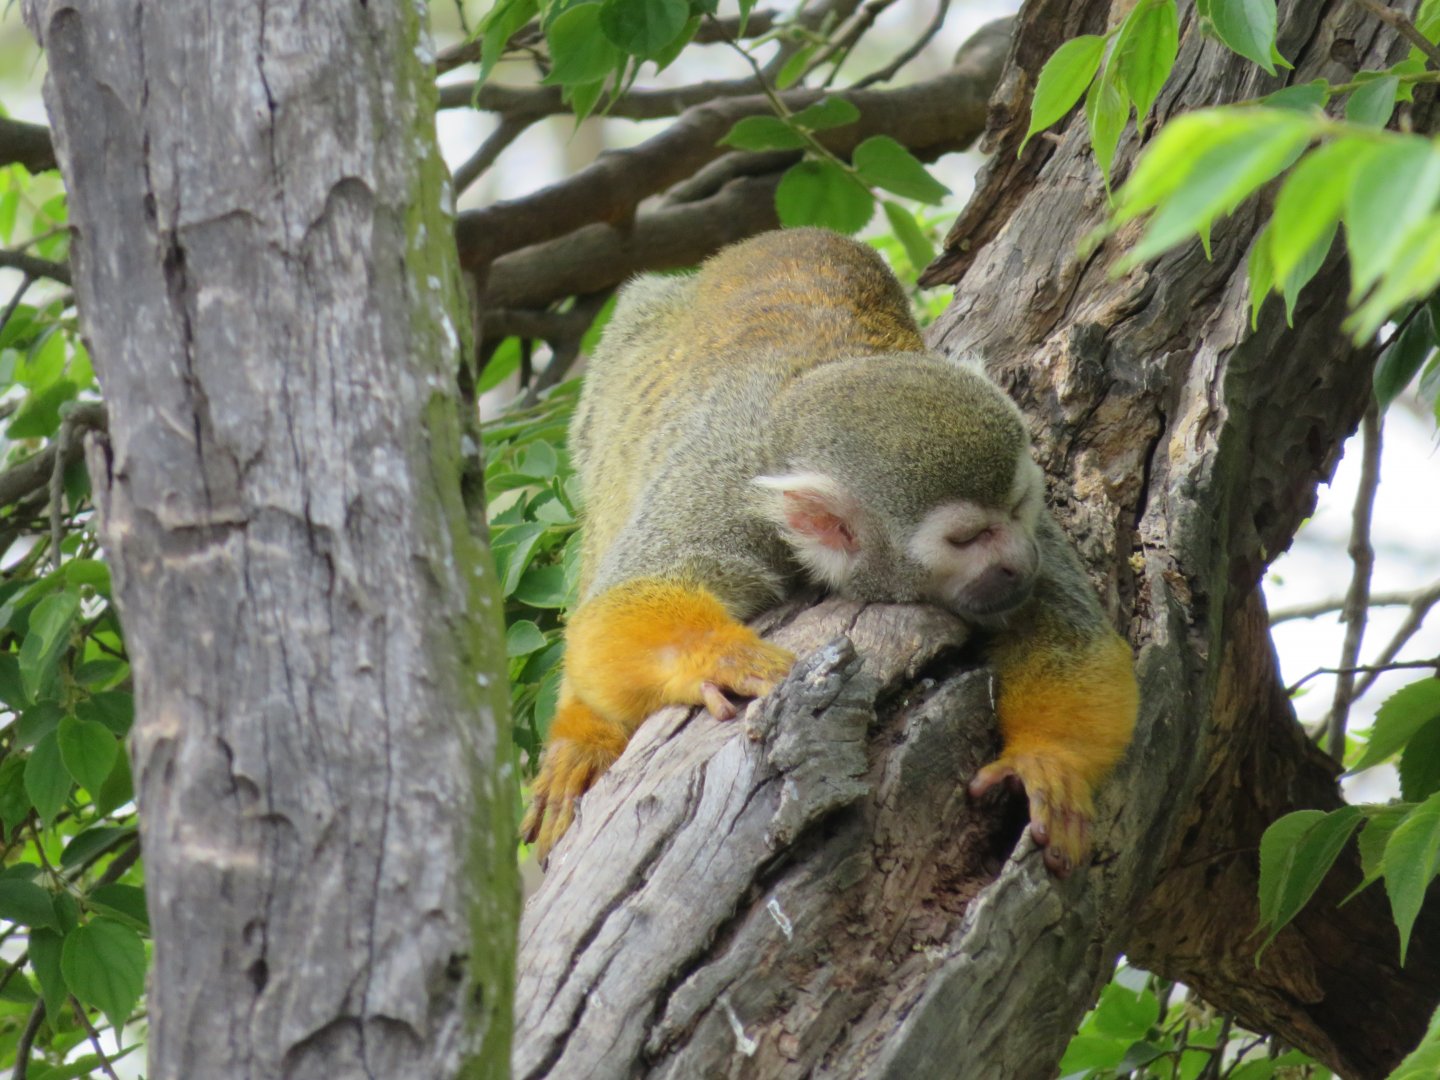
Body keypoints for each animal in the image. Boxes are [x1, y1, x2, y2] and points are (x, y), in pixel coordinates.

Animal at [518, 228, 1138, 876]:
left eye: (1018, 506)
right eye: (967, 539)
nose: (1020, 561)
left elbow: (1066, 634)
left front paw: (1046, 761)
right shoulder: (726, 487)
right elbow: (618, 601)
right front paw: (718, 655)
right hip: (617, 380)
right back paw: (582, 735)